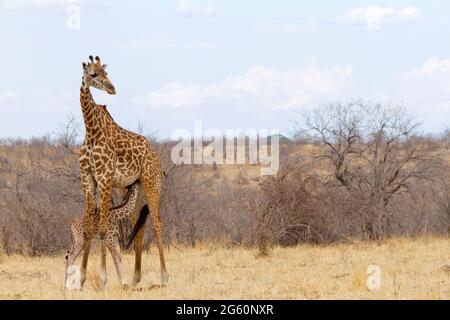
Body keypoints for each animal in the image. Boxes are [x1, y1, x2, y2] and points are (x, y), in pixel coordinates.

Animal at [78, 55, 168, 284]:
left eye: (106, 73)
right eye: (93, 74)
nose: (112, 88)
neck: (91, 132)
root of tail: (156, 156)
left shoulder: (105, 178)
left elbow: (102, 228)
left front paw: (103, 278)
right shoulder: (87, 178)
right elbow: (90, 228)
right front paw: (81, 278)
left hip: (152, 182)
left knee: (157, 222)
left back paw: (164, 276)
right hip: (135, 185)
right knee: (140, 224)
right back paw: (136, 277)